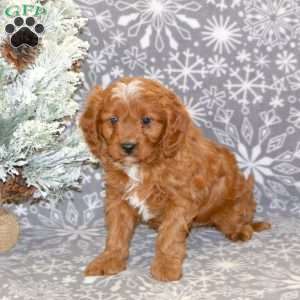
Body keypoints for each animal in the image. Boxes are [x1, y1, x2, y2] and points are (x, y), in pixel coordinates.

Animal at [78, 77, 270, 282]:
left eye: (146, 120)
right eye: (113, 119)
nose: (128, 146)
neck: (145, 164)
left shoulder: (180, 199)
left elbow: (170, 234)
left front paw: (166, 266)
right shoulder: (118, 198)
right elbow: (116, 233)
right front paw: (109, 259)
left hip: (235, 201)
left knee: (237, 220)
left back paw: (241, 230)